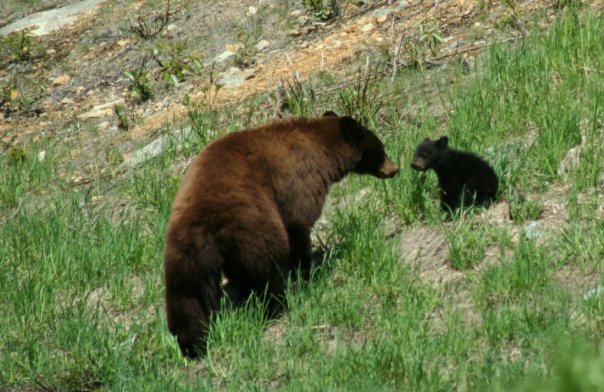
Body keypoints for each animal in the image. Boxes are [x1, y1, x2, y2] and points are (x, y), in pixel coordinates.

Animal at [163, 111, 398, 358]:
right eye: (381, 148)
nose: (395, 169)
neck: (321, 149)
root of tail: (206, 220)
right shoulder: (299, 182)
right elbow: (299, 226)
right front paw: (306, 271)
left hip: (185, 247)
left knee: (187, 293)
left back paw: (192, 343)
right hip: (252, 223)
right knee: (267, 266)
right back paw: (276, 304)